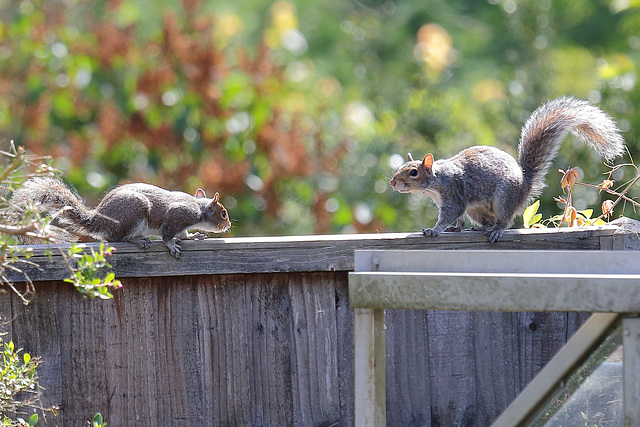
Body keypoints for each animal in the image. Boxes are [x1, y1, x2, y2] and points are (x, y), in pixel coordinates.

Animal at [11, 176, 231, 258]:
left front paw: (194, 236)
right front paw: (172, 245)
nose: (228, 226)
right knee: (116, 238)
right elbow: (168, 234)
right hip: (134, 212)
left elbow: (183, 234)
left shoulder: (182, 224)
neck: (199, 209)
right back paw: (137, 240)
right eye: (224, 213)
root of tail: (98, 220)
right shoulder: (177, 215)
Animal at [390, 97, 624, 244]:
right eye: (401, 167)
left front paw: (434, 230)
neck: (435, 183)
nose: (392, 182)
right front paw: (455, 228)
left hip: (504, 197)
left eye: (413, 172)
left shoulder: (453, 194)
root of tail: (524, 186)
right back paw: (482, 228)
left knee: (504, 220)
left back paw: (496, 231)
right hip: (477, 208)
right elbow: (459, 218)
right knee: (488, 220)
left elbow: (451, 213)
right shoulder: (452, 202)